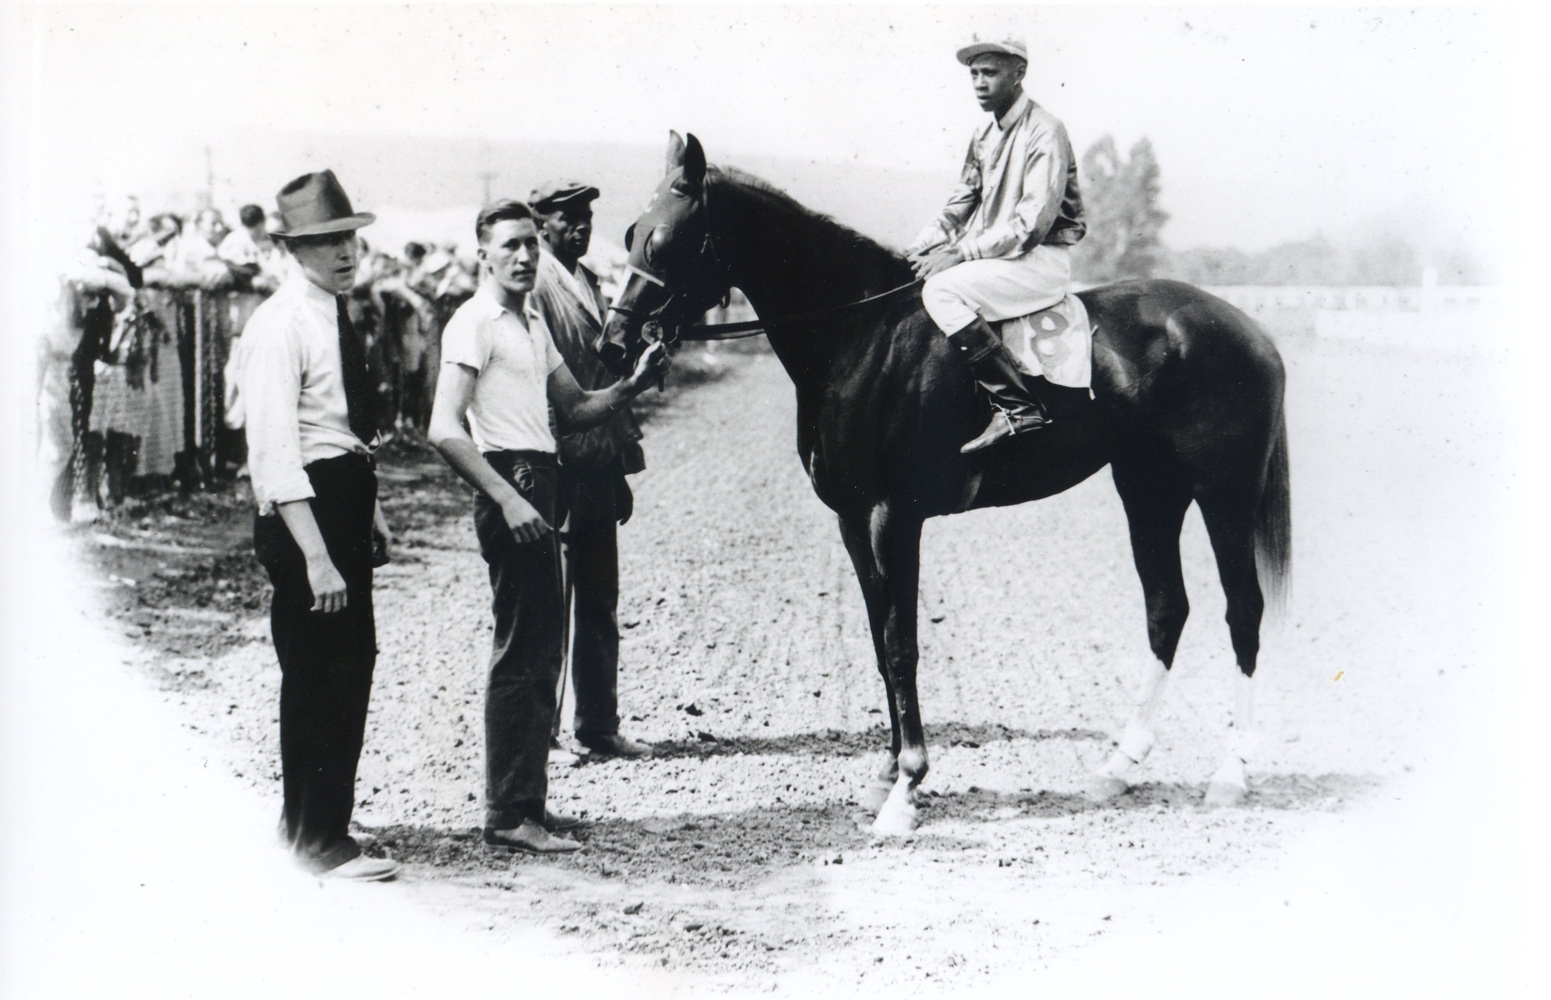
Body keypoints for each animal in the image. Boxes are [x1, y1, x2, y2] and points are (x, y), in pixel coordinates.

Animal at [598, 134, 1290, 837]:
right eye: (629, 233)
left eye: (664, 241)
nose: (613, 344)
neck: (859, 337)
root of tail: (1251, 329)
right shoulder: (851, 521)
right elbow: (880, 645)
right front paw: (884, 778)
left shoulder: (892, 517)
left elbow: (901, 645)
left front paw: (906, 787)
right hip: (1149, 489)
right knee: (1166, 609)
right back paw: (1119, 766)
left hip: (1224, 494)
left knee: (1243, 611)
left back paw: (1230, 775)